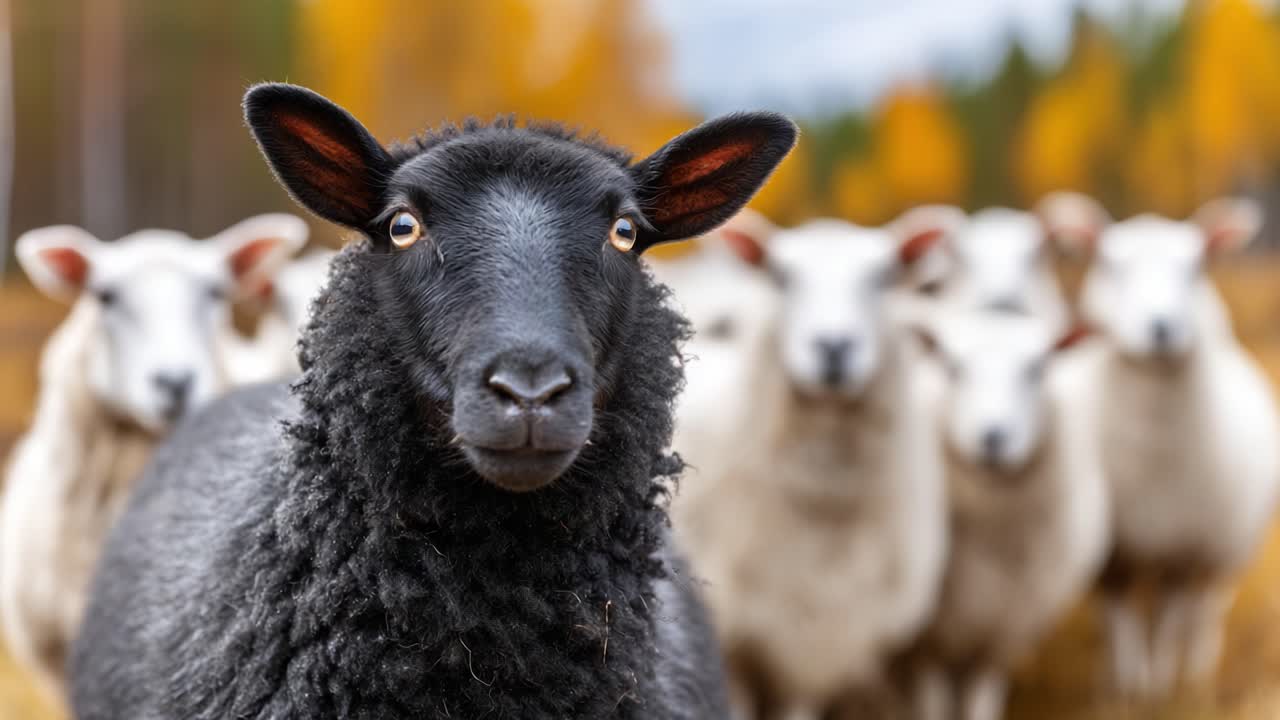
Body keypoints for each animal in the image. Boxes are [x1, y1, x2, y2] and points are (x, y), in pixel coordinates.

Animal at [906, 309, 1108, 720]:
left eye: (1037, 368)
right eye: (954, 367)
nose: (994, 438)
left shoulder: (1000, 630)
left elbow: (981, 699)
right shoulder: (927, 643)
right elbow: (933, 703)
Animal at [1042, 191, 1280, 698]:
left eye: (1195, 266)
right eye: (1111, 263)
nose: (1161, 328)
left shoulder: (1182, 550)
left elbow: (1170, 620)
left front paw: (1163, 687)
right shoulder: (1113, 556)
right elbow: (1120, 624)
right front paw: (1125, 689)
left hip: (1227, 547)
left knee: (1203, 611)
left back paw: (1198, 672)